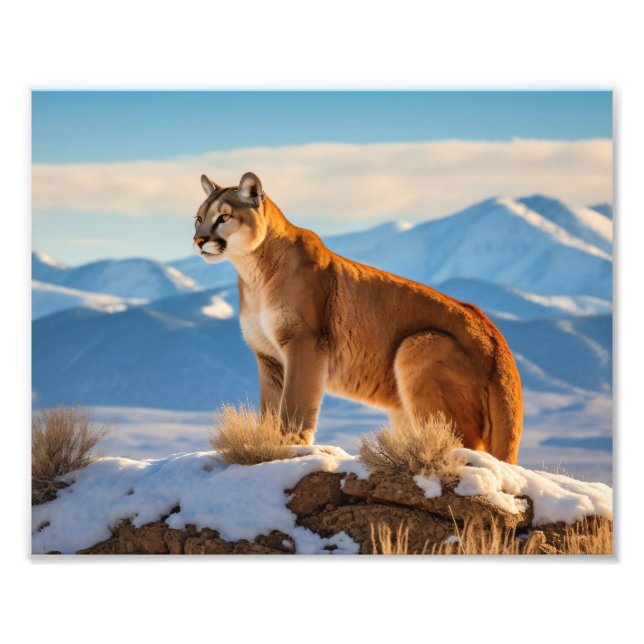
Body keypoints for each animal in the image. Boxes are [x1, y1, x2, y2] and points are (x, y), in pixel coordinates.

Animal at [193, 172, 523, 463]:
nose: (198, 240)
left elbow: (295, 406)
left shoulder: (305, 343)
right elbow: (271, 410)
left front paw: (290, 445)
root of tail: (497, 341)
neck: (253, 271)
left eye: (224, 217)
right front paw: (266, 441)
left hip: (420, 345)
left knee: (463, 447)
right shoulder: (269, 356)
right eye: (198, 217)